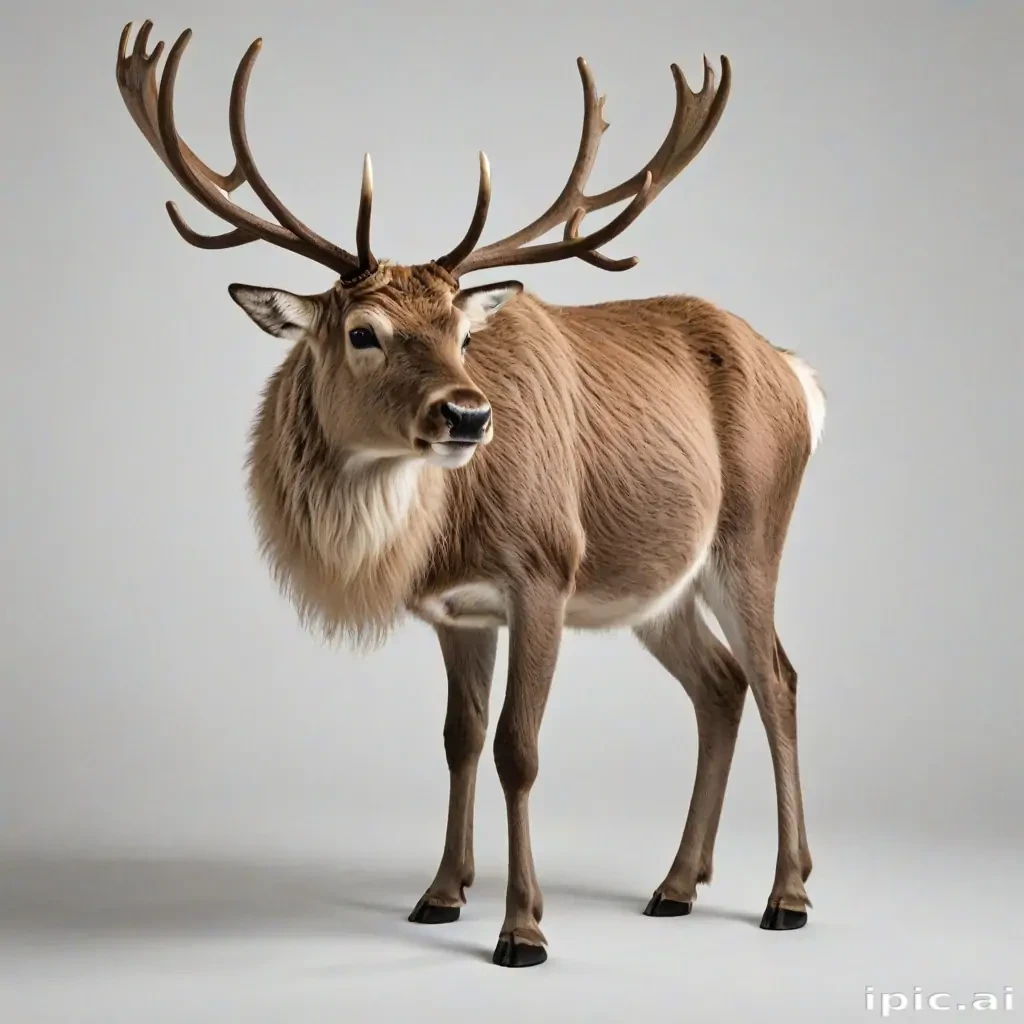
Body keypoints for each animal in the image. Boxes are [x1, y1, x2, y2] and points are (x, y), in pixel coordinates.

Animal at [116, 20, 825, 968]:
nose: (468, 414)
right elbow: (459, 740)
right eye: (362, 332)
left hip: (750, 534)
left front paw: (523, 928)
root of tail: (796, 374)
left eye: (460, 330)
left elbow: (517, 749)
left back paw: (788, 894)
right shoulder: (455, 609)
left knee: (778, 674)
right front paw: (441, 893)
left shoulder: (545, 572)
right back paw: (676, 884)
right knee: (719, 684)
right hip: (658, 585)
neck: (441, 531)